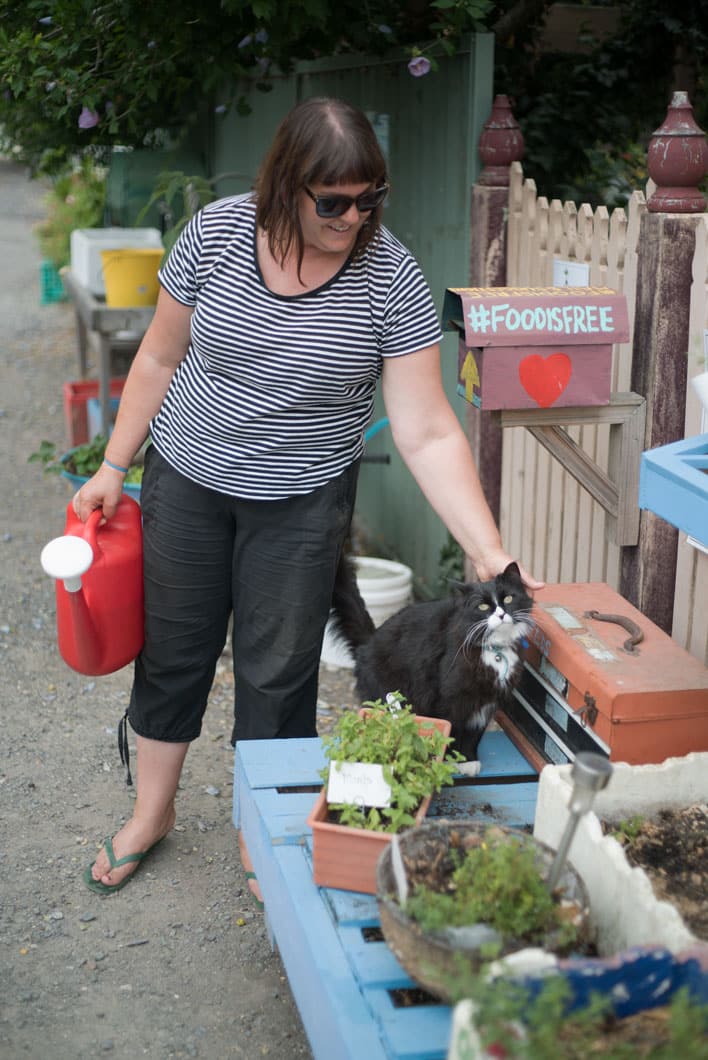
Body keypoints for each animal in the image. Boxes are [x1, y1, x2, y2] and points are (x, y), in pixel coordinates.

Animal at [328, 559, 534, 775]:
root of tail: (366, 644)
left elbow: (474, 734)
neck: (495, 648)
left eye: (509, 598)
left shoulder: (487, 700)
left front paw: (468, 760)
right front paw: (452, 760)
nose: (501, 614)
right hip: (386, 695)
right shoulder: (451, 699)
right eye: (483, 606)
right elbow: (453, 730)